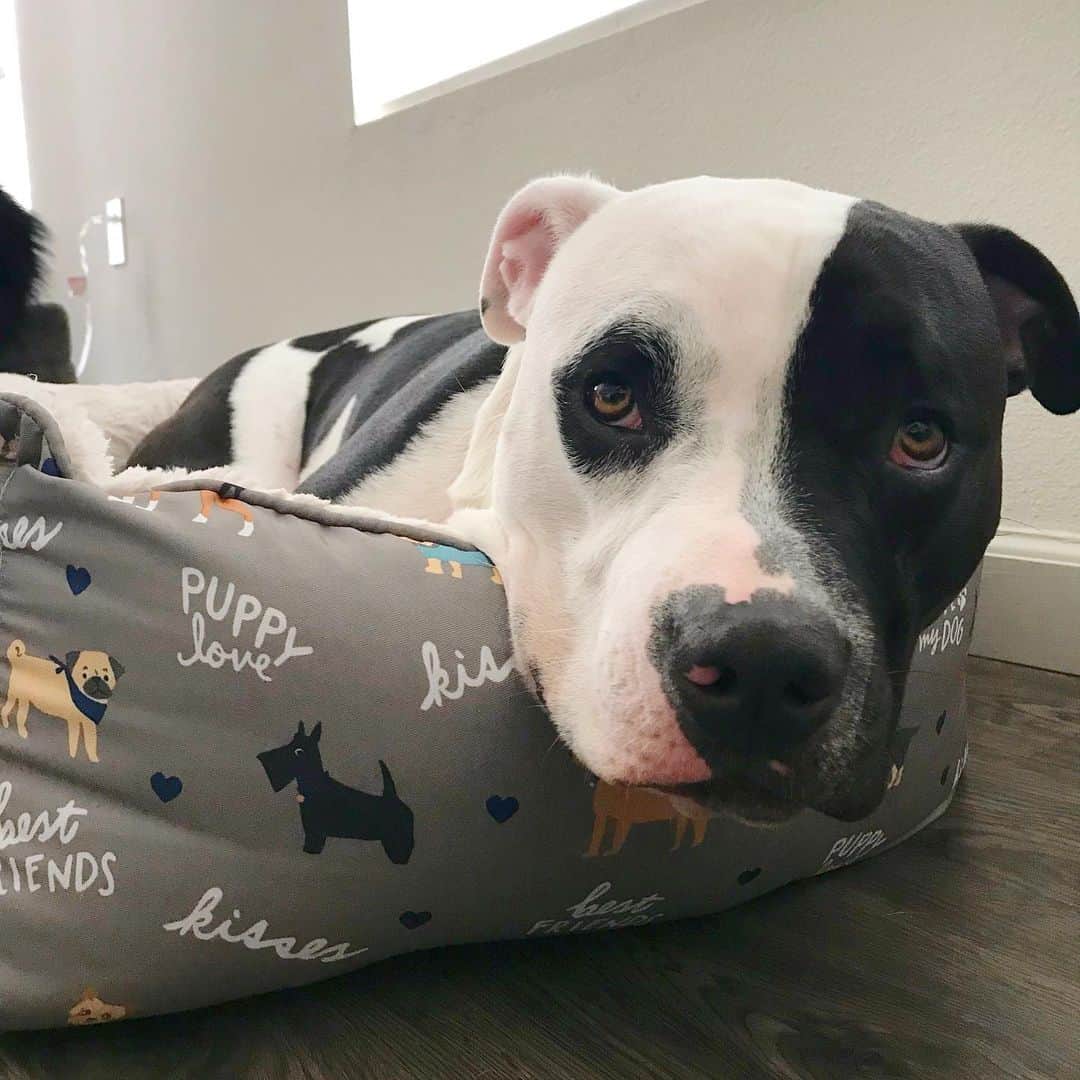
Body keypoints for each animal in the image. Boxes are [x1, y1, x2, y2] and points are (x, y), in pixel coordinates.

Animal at [2, 635, 125, 764]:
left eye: (106, 678)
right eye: (84, 675)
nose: (96, 680)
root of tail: (19, 659)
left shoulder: (89, 724)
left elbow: (90, 744)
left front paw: (93, 758)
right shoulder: (74, 722)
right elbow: (74, 740)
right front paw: (73, 754)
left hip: (20, 699)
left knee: (14, 714)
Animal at [254, 721, 414, 864]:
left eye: (299, 751)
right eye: (292, 738)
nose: (262, 757)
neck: (315, 786)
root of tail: (394, 798)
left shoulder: (316, 832)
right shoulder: (311, 831)